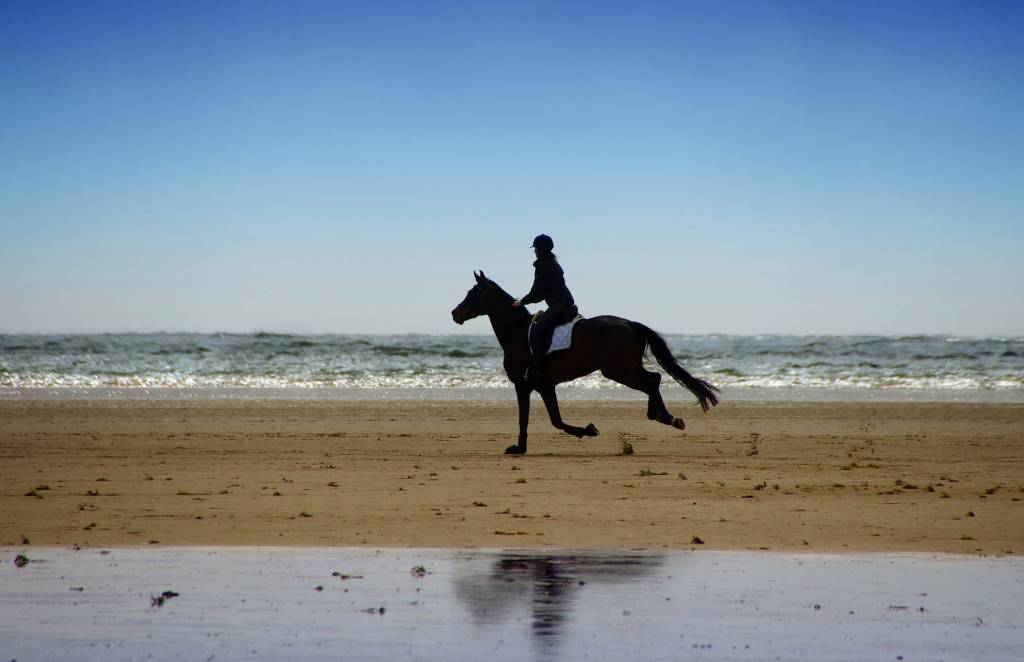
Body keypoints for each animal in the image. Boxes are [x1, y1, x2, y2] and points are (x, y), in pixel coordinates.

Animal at [448, 270, 720, 457]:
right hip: (627, 368)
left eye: (472, 293)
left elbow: (529, 418)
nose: (454, 313)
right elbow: (555, 419)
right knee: (655, 379)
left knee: (653, 381)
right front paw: (586, 430)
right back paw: (666, 417)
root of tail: (631, 324)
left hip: (618, 371)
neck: (516, 332)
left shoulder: (523, 385)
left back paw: (661, 416)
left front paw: (520, 447)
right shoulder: (545, 386)